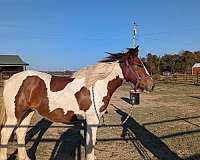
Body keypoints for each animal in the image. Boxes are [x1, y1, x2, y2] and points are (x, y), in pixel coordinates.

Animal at [0, 45, 155, 159]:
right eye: (138, 65)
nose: (151, 85)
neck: (96, 85)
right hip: (14, 116)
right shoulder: (93, 120)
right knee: (5, 135)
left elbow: (88, 144)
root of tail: (11, 79)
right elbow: (91, 146)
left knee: (20, 133)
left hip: (28, 113)